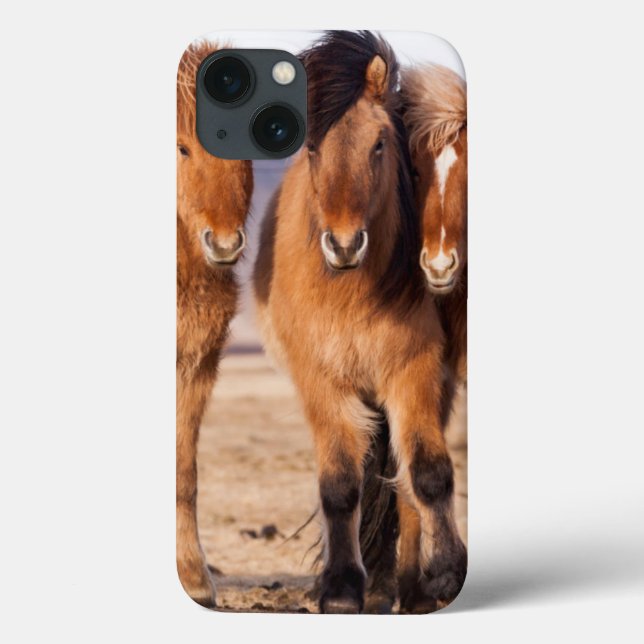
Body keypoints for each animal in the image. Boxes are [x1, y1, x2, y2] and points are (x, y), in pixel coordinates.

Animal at [253, 31, 466, 613]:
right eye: (310, 148)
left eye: (379, 144)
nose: (345, 244)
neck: (349, 293)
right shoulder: (322, 382)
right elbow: (340, 484)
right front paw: (343, 588)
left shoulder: (414, 371)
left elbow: (428, 475)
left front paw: (446, 570)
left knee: (407, 484)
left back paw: (412, 590)